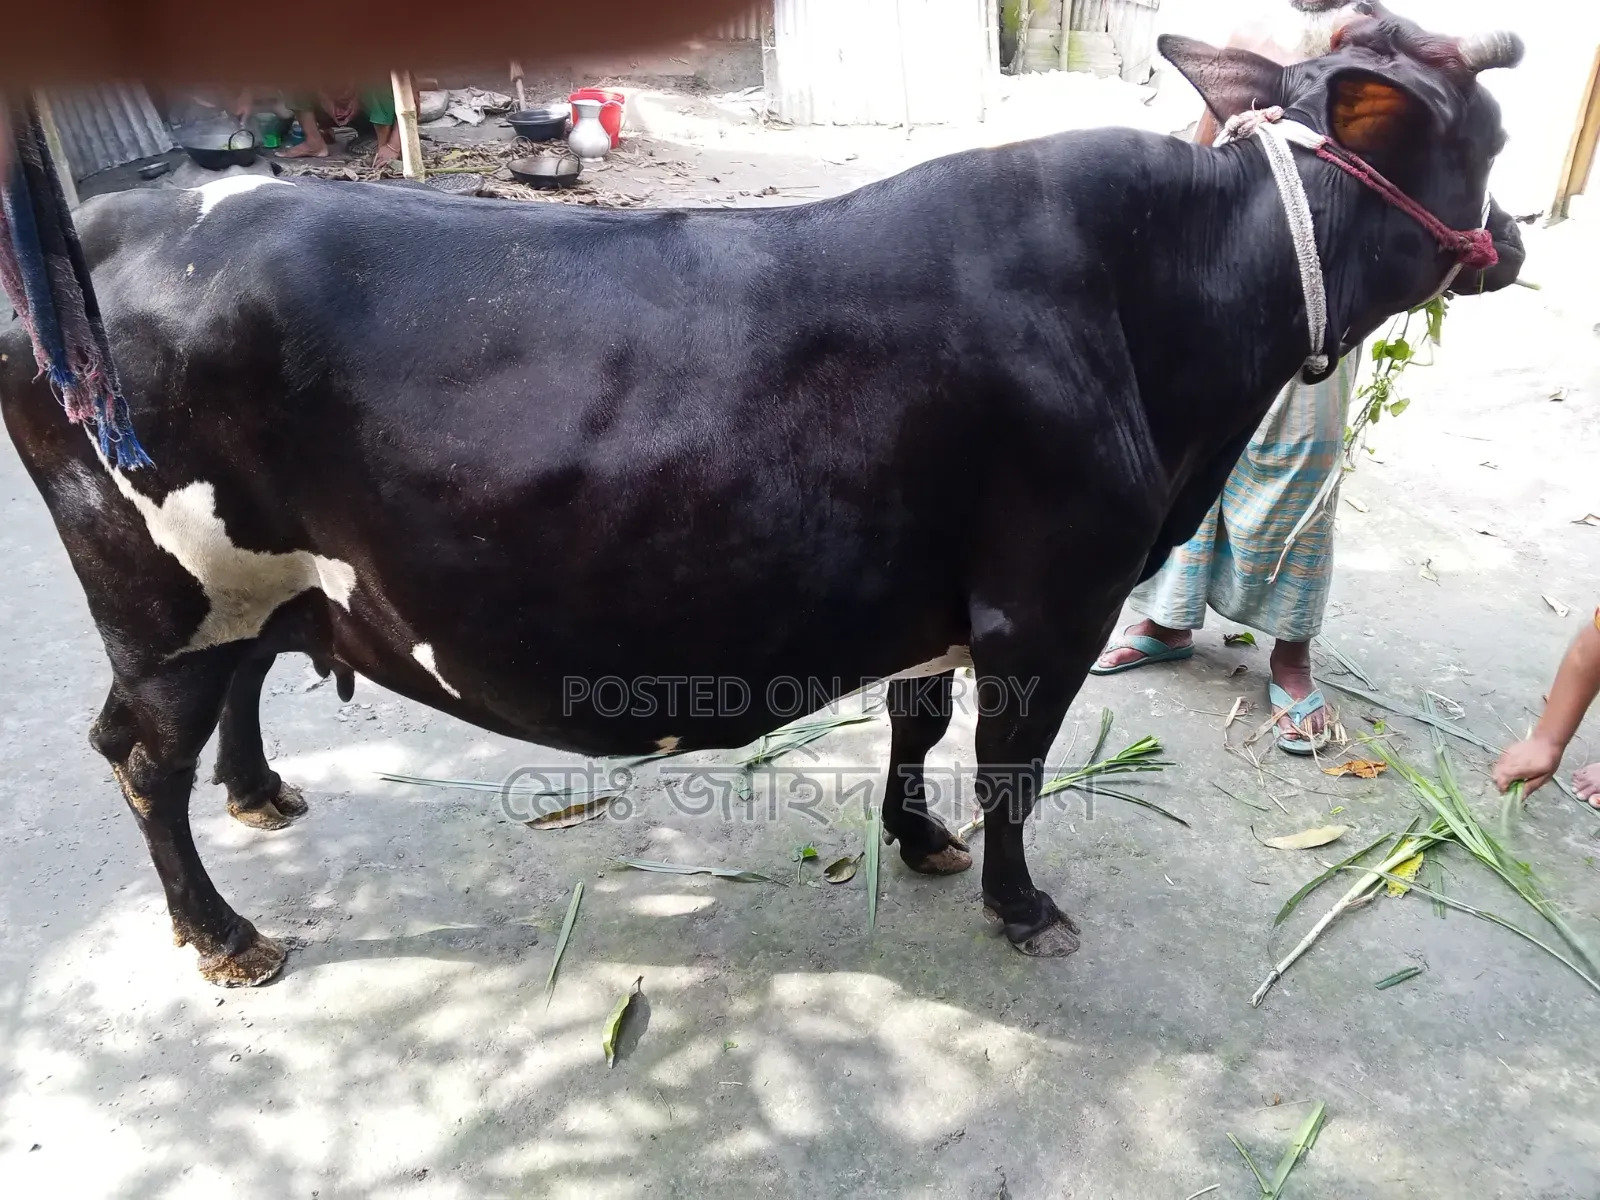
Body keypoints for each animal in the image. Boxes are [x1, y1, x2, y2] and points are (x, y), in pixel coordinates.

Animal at [1, 11, 1525, 985]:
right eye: (1490, 141)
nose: (1511, 239)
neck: (1169, 311)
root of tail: (119, 216)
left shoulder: (942, 601)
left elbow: (918, 724)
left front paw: (919, 841)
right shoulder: (1051, 603)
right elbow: (1012, 768)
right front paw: (1021, 904)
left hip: (251, 582)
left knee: (244, 683)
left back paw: (263, 795)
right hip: (158, 597)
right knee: (138, 754)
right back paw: (225, 935)